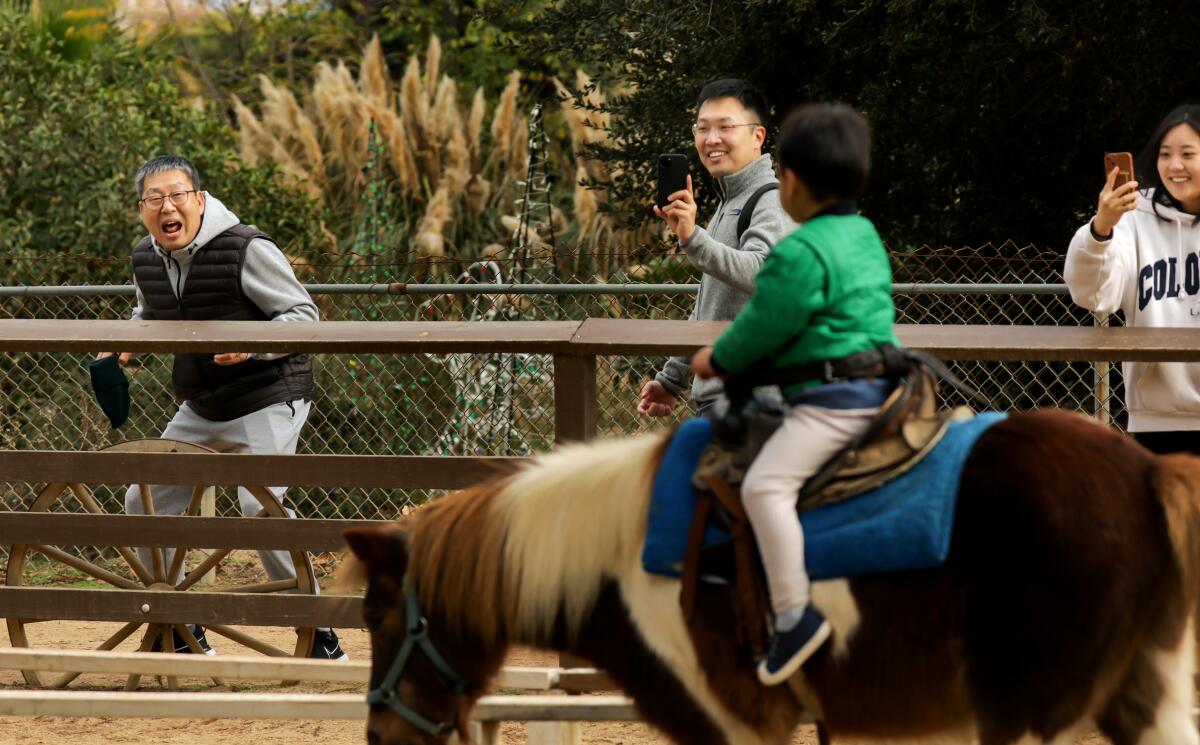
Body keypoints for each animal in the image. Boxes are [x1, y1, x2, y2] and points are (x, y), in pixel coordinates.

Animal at [343, 410, 1200, 743]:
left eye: (376, 614)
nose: (379, 731)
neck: (616, 551)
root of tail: (1148, 470)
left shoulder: (732, 721)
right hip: (1141, 693)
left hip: (1034, 714)